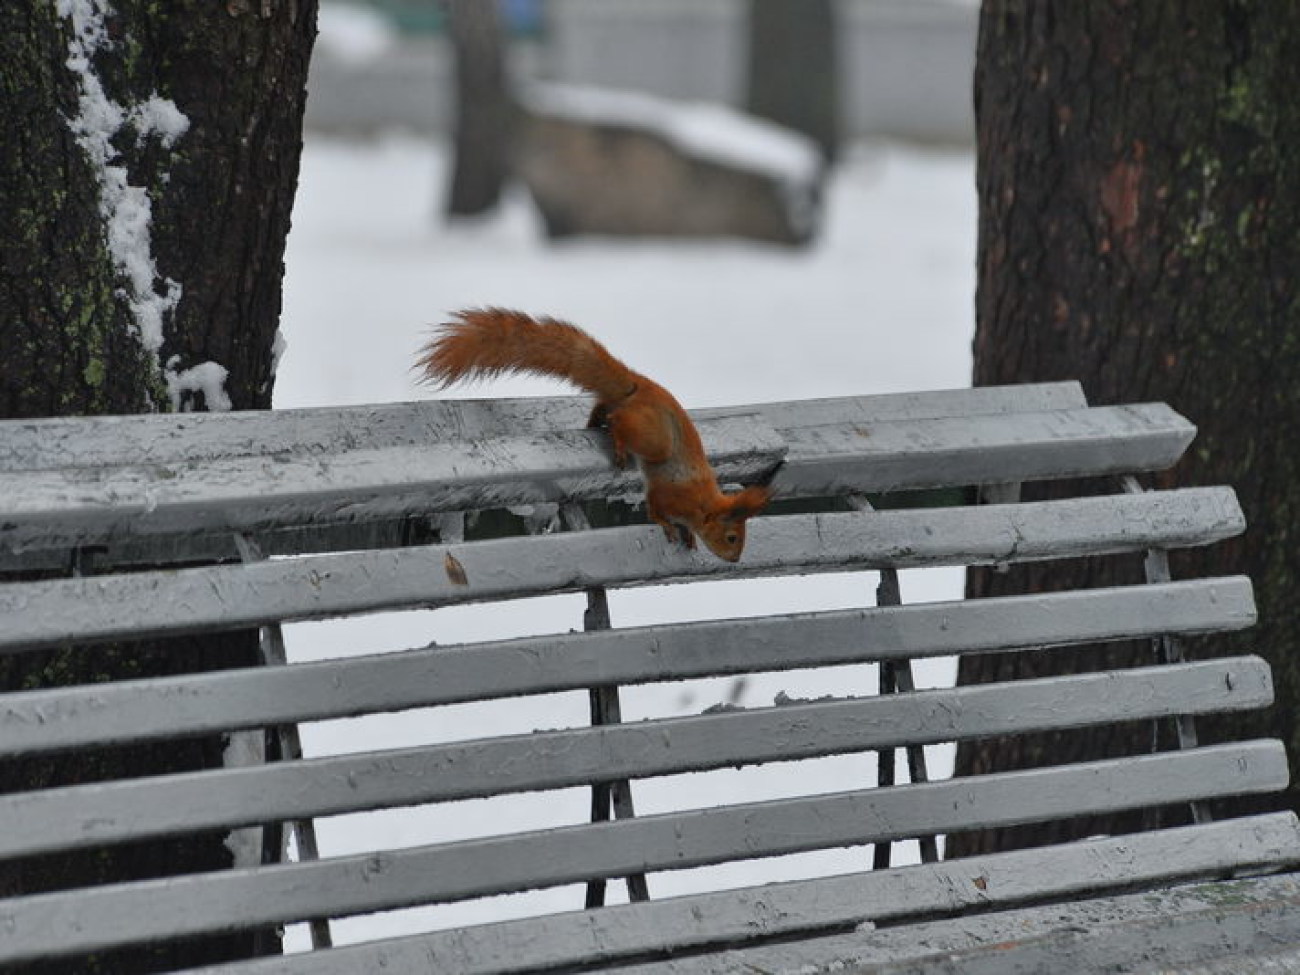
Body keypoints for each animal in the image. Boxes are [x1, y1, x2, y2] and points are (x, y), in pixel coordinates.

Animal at [416, 309, 764, 561]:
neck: (702, 503)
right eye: (732, 537)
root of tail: (641, 387)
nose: (735, 559)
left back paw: (595, 421)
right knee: (619, 420)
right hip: (653, 438)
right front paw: (668, 525)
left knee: (604, 408)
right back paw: (617, 439)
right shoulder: (669, 495)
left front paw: (689, 535)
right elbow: (655, 508)